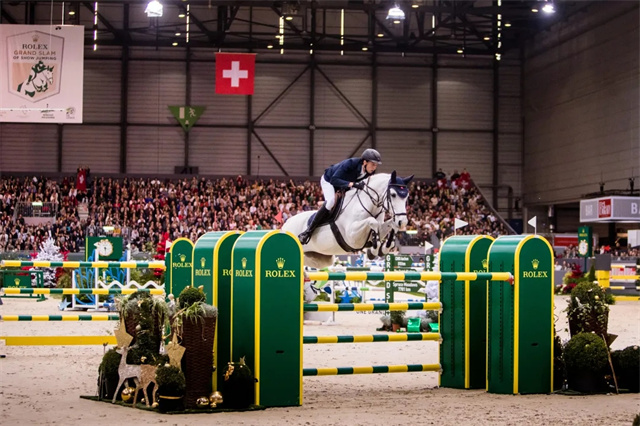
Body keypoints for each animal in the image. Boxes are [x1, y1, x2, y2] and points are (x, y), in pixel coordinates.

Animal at [282, 171, 412, 268]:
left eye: (407, 196)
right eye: (394, 195)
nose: (403, 222)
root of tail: (285, 224)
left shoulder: (380, 228)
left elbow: (390, 225)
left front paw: (383, 248)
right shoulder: (352, 237)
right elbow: (372, 221)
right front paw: (374, 250)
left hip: (321, 258)